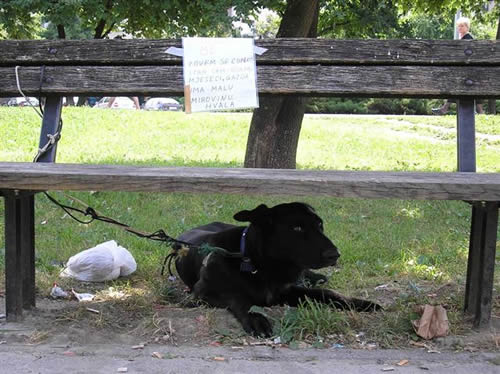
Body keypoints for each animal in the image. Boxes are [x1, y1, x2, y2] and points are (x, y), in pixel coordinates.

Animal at [174, 202, 380, 336]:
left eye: (320, 225)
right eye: (297, 228)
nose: (335, 254)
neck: (259, 265)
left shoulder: (286, 291)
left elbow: (327, 293)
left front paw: (360, 303)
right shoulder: (201, 294)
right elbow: (239, 298)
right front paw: (257, 318)